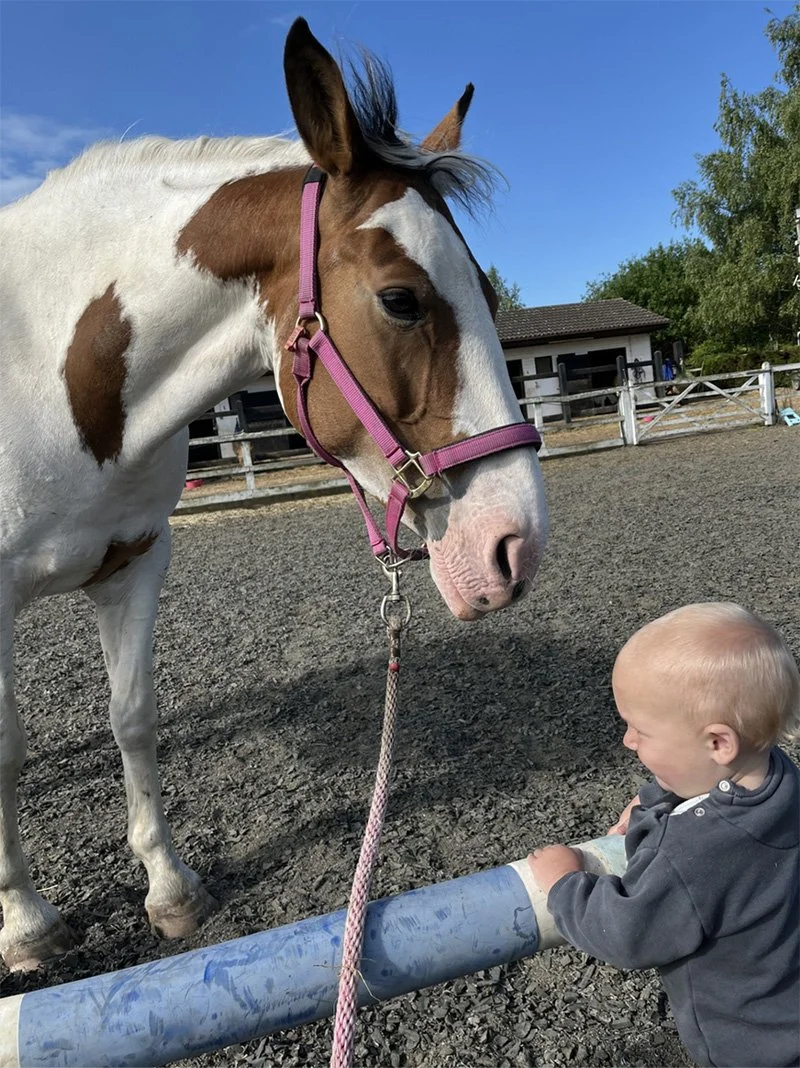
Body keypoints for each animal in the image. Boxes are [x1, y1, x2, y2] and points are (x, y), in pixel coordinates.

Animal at [0, 19, 548, 972]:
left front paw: (170, 891)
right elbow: (4, 752)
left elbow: (132, 716)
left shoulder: (133, 564)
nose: (515, 545)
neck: (51, 379)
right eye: (400, 299)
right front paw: (26, 924)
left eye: (486, 293)